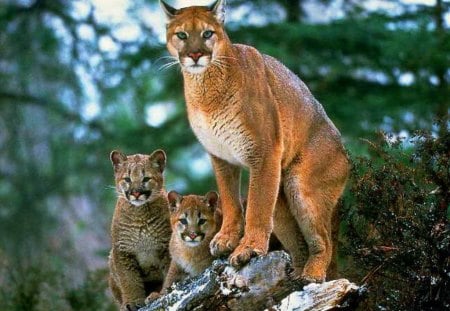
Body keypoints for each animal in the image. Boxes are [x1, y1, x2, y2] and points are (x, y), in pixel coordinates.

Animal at [160, 0, 350, 282]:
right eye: (182, 35)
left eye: (207, 33)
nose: (195, 55)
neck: (204, 89)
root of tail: (346, 153)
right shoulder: (220, 156)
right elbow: (230, 200)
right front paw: (226, 239)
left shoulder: (265, 152)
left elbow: (257, 206)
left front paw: (247, 249)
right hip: (282, 205)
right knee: (298, 244)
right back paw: (294, 274)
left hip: (302, 189)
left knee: (323, 241)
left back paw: (312, 276)